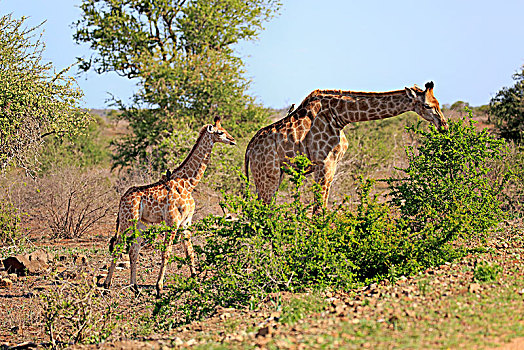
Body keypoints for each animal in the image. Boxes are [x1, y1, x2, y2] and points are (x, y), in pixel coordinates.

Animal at [104, 116, 235, 294]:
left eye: (225, 129)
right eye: (220, 132)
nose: (233, 140)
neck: (188, 183)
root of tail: (122, 199)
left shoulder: (186, 222)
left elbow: (190, 252)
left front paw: (197, 284)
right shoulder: (173, 221)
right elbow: (166, 252)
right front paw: (159, 288)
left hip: (141, 224)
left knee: (133, 250)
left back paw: (135, 287)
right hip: (127, 220)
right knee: (118, 246)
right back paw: (106, 285)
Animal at [245, 81, 446, 208]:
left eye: (438, 103)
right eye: (428, 106)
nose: (443, 125)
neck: (340, 116)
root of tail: (249, 148)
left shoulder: (332, 165)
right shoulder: (324, 163)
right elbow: (319, 209)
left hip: (273, 174)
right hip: (268, 174)